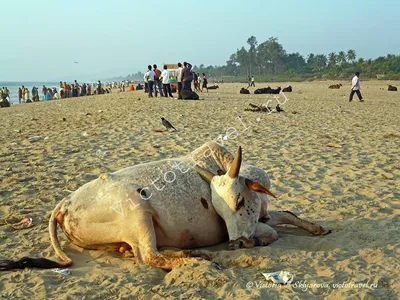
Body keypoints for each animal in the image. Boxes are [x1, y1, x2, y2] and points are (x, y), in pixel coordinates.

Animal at [0, 142, 330, 270]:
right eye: (220, 213)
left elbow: (288, 214)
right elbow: (271, 232)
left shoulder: (263, 214)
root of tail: (63, 205)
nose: (237, 243)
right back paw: (197, 258)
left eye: (238, 201)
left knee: (140, 252)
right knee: (150, 256)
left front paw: (318, 228)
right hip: (138, 211)